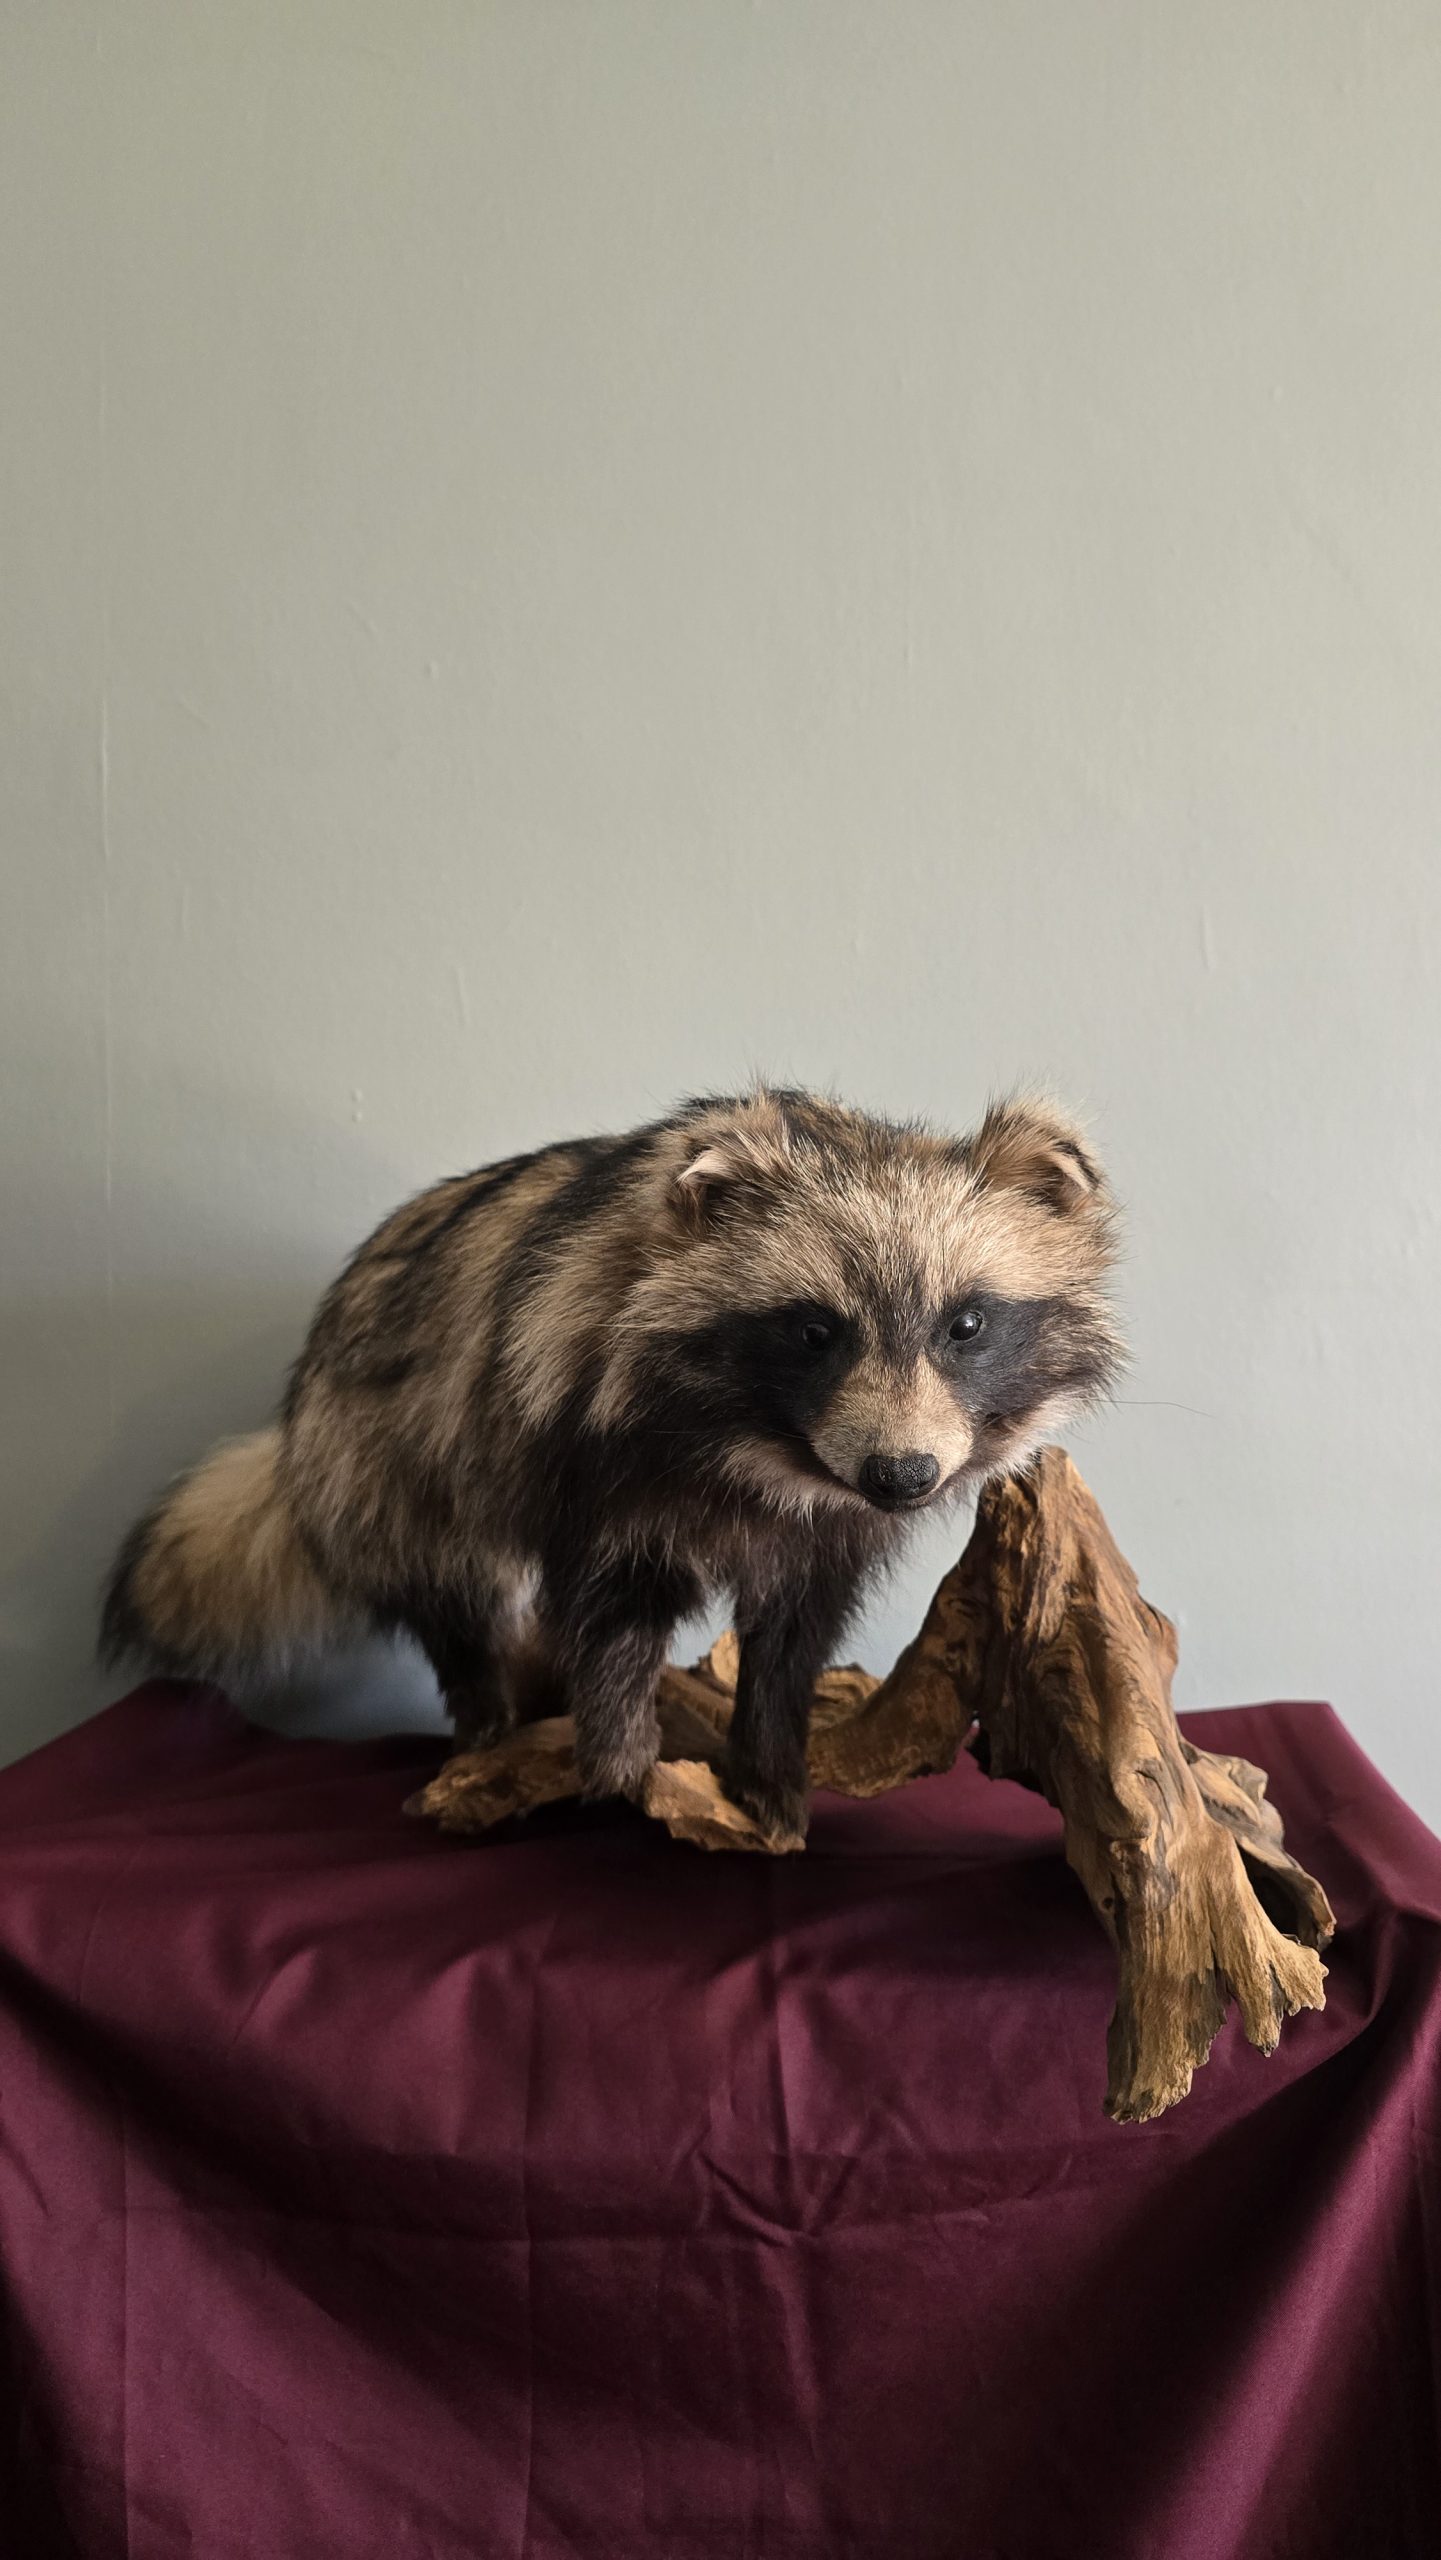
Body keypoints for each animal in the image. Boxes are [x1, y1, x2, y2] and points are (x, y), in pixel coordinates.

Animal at [101, 1086, 1121, 1839]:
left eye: (966, 1324)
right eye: (811, 1331)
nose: (900, 1475)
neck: (767, 1455)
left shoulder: (827, 1526)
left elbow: (794, 1630)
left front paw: (770, 1762)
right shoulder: (588, 1452)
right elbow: (610, 1604)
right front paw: (620, 1749)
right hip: (385, 1455)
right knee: (454, 1595)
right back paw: (486, 1721)